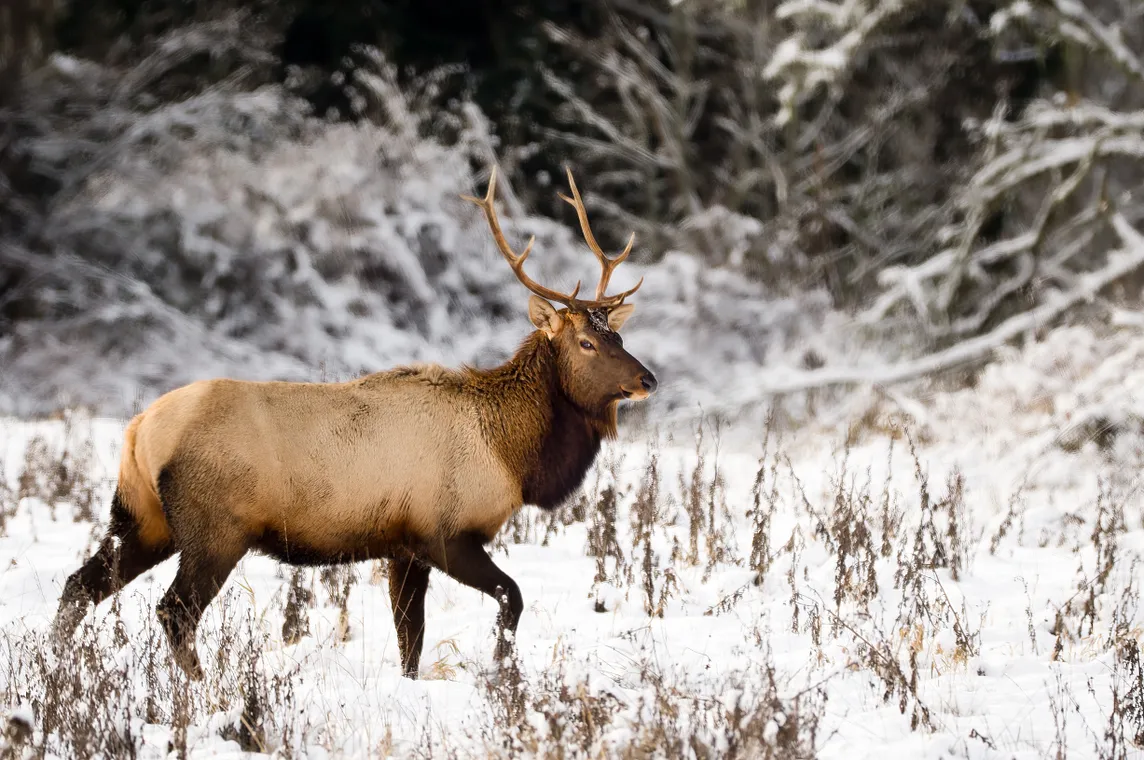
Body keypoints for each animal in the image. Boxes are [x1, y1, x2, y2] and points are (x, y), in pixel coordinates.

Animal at [51, 169, 663, 677]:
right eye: (585, 343)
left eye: (618, 334)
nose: (647, 379)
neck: (511, 454)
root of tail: (139, 430)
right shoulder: (443, 532)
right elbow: (509, 598)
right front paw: (502, 674)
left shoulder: (403, 548)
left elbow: (410, 641)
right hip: (215, 527)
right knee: (173, 610)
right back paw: (205, 690)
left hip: (143, 517)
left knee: (80, 585)